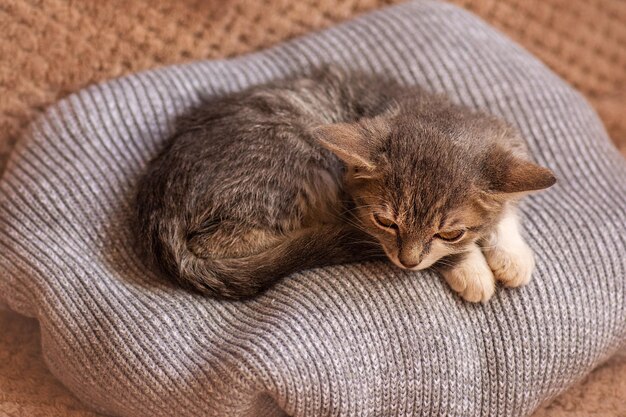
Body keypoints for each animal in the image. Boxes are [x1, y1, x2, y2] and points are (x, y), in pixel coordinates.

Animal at [135, 67, 552, 302]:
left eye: (449, 232)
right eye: (386, 222)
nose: (407, 261)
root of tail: (160, 203)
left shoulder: (507, 144)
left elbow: (505, 209)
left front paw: (511, 254)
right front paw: (472, 269)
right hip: (298, 165)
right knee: (212, 242)